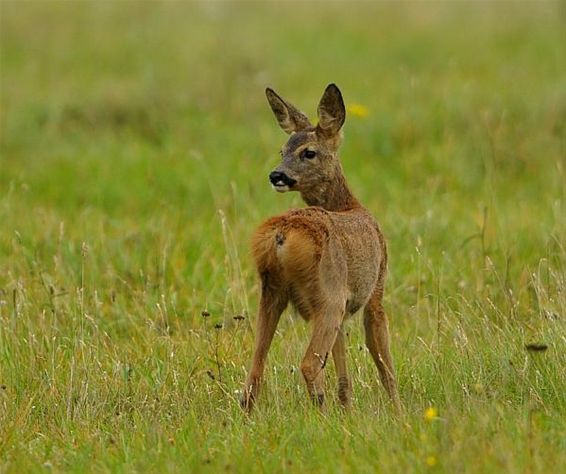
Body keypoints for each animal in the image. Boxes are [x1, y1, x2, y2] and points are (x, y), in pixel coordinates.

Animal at [242, 84, 402, 412]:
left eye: (307, 152)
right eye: (283, 151)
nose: (277, 175)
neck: (349, 205)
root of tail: (281, 235)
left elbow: (342, 368)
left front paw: (348, 409)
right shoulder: (375, 288)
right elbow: (384, 362)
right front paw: (399, 411)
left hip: (272, 292)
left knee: (255, 367)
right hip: (328, 295)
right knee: (309, 364)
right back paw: (322, 412)